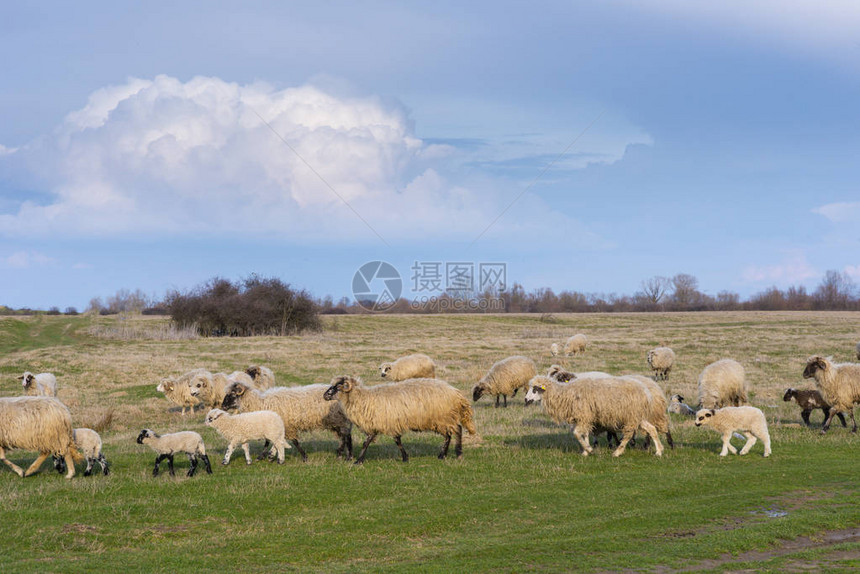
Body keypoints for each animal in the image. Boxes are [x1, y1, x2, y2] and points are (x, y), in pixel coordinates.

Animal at [225, 382, 356, 464]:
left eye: (232, 394)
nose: (223, 406)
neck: (261, 403)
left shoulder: (287, 426)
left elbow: (294, 441)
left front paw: (304, 457)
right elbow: (270, 441)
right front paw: (267, 456)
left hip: (340, 420)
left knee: (346, 436)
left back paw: (345, 455)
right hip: (337, 422)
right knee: (345, 436)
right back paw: (344, 454)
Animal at [322, 376, 478, 466]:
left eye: (337, 387)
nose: (324, 395)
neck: (362, 398)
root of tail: (456, 393)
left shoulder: (378, 423)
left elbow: (367, 442)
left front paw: (358, 461)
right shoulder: (388, 423)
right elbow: (397, 441)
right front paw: (405, 457)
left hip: (444, 417)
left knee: (457, 430)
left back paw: (457, 453)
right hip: (442, 419)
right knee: (449, 435)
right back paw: (442, 455)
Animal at [524, 378, 664, 460]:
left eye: (535, 389)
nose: (525, 399)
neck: (564, 394)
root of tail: (646, 392)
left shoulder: (584, 414)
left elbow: (576, 434)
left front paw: (589, 449)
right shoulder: (584, 417)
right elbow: (584, 434)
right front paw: (586, 451)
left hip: (631, 416)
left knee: (629, 434)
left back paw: (617, 452)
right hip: (637, 416)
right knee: (652, 429)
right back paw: (659, 451)